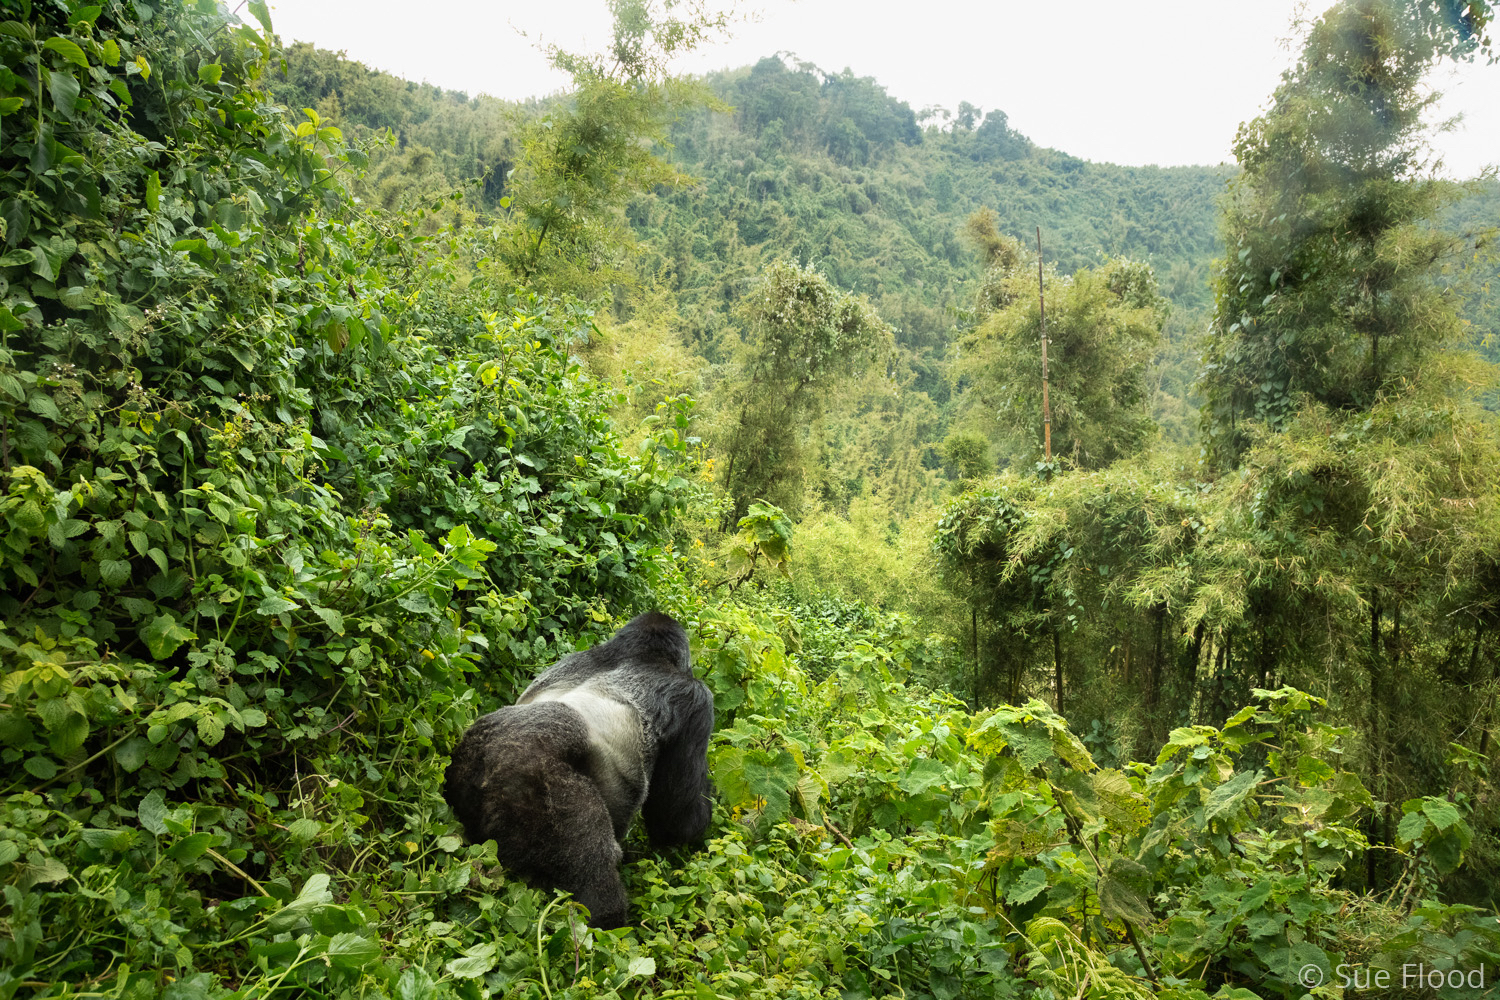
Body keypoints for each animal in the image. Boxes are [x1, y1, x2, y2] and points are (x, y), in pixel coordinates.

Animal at [438, 611, 714, 929]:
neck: (640, 655)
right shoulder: (697, 700)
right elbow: (677, 819)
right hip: (543, 789)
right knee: (594, 880)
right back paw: (607, 917)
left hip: (462, 772)